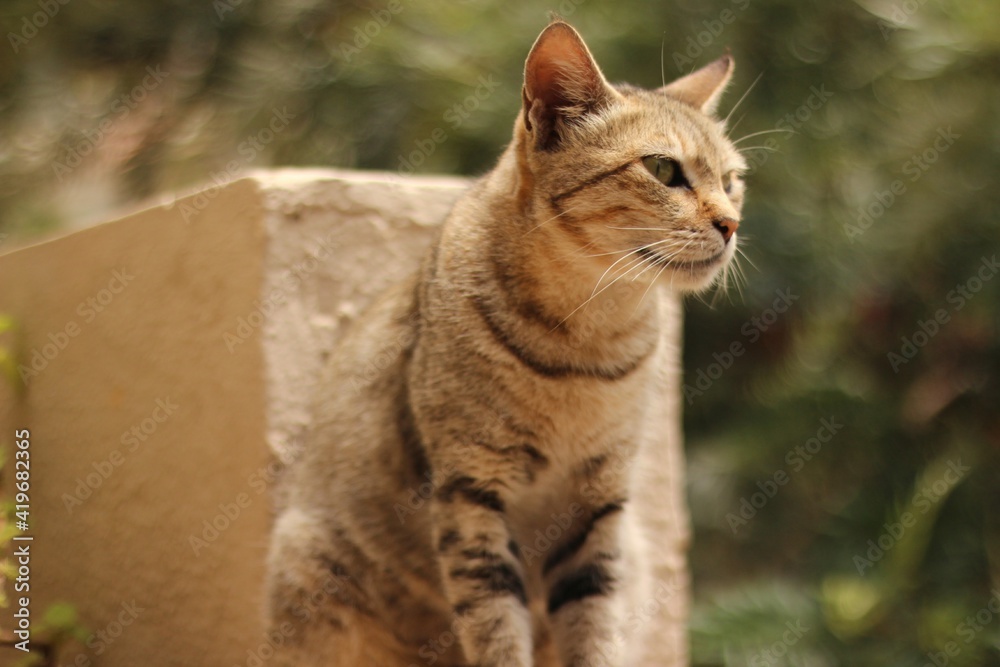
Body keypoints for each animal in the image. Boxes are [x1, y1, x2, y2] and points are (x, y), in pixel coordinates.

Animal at [270, 18, 748, 664]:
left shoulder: (598, 507)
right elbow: (495, 626)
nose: (732, 223)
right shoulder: (471, 495)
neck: (586, 342)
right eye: (664, 170)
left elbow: (593, 628)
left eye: (732, 181)